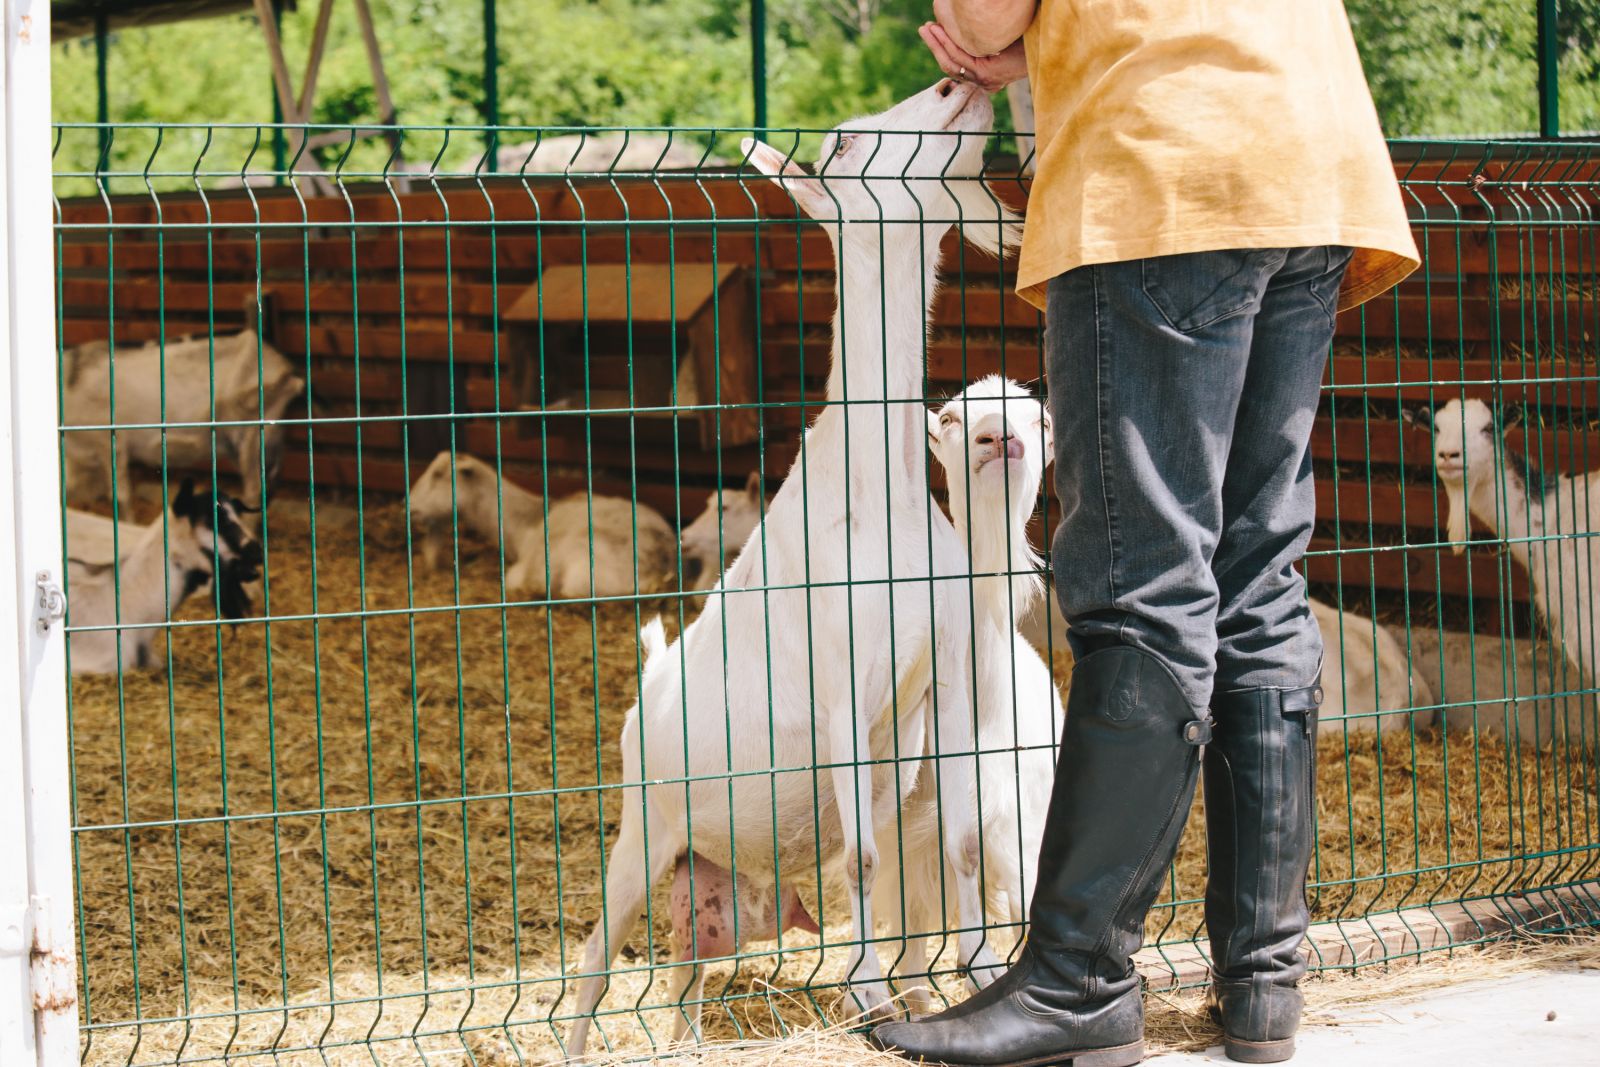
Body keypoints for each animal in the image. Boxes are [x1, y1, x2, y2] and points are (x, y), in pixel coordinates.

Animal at [563, 77, 1017, 1062]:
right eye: (843, 141)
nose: (958, 82)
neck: (879, 491)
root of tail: (649, 688)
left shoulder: (948, 670)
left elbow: (960, 843)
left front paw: (974, 978)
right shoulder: (845, 681)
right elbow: (867, 858)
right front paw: (870, 997)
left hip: (706, 879)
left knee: (685, 974)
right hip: (642, 826)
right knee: (593, 959)